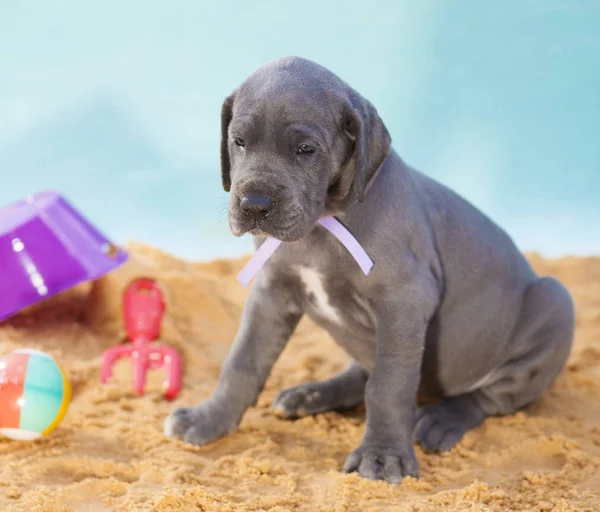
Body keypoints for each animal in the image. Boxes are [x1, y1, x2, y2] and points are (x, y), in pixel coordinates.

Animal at [163, 57, 572, 484]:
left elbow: (388, 386)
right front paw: (209, 419)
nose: (254, 204)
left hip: (554, 303)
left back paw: (443, 419)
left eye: (306, 149)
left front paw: (383, 455)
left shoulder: (403, 302)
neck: (324, 223)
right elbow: (242, 361)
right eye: (239, 142)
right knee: (362, 373)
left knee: (486, 398)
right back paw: (311, 395)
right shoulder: (271, 291)